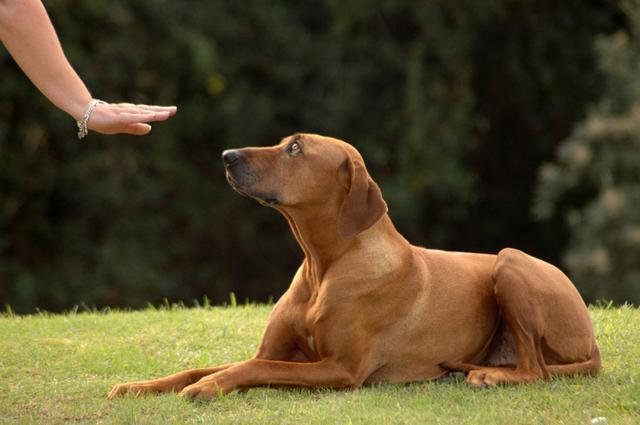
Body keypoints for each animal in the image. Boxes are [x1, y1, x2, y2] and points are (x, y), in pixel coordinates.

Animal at [106, 134, 600, 400]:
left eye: (295, 149)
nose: (227, 156)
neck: (323, 266)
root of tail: (592, 339)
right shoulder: (276, 350)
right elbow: (203, 367)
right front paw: (138, 386)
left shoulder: (340, 369)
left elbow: (250, 369)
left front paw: (210, 387)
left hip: (510, 262)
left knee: (536, 369)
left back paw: (490, 375)